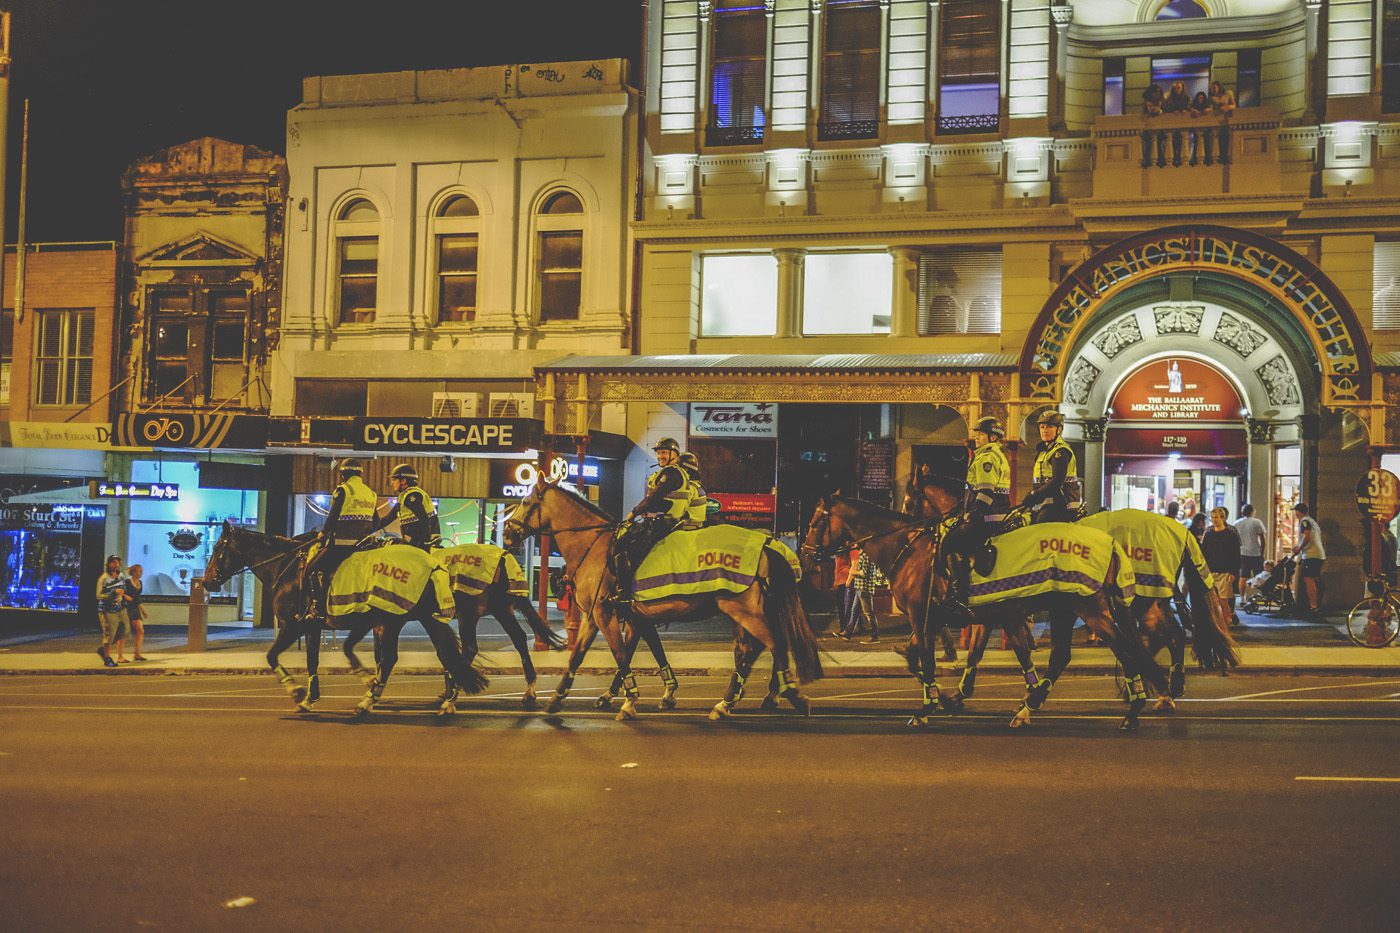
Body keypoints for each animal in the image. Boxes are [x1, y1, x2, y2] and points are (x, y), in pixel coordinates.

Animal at [203, 518, 487, 714]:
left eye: (218, 548)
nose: (206, 582)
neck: (286, 566)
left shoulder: (293, 624)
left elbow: (272, 656)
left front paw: (296, 692)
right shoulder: (317, 625)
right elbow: (315, 659)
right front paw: (310, 697)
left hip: (392, 620)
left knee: (394, 658)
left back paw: (368, 702)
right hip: (411, 618)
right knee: (440, 653)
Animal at [800, 490, 1170, 728]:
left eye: (816, 521)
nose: (805, 556)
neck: (913, 548)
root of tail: (1109, 541)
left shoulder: (925, 616)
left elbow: (924, 658)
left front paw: (927, 706)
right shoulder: (970, 616)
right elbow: (933, 656)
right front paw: (947, 697)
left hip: (1087, 606)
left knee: (1122, 647)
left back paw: (1132, 708)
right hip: (1068, 608)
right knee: (1067, 654)